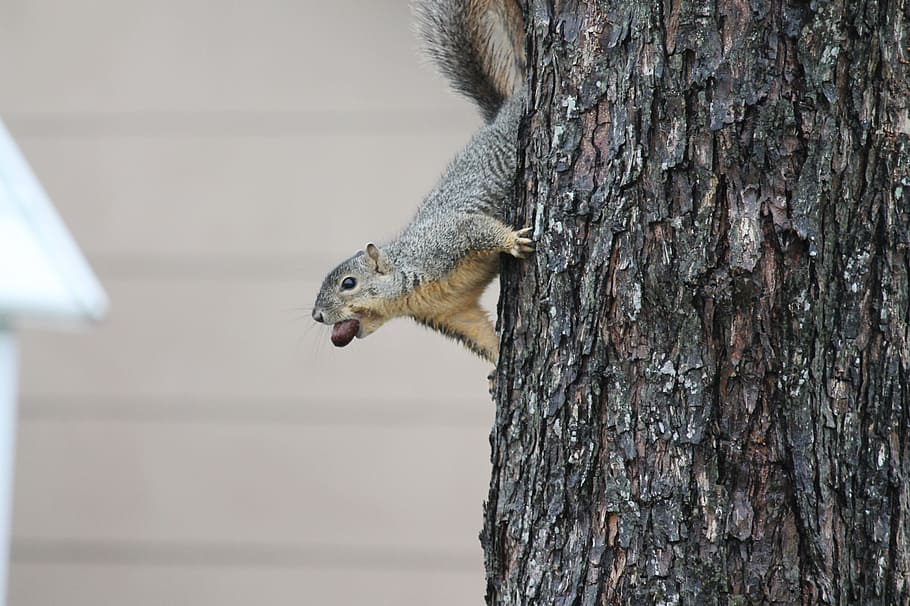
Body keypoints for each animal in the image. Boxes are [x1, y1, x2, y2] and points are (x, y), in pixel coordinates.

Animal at [311, 0, 529, 363]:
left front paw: (512, 240)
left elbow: (476, 228)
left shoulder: (445, 240)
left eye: (348, 283)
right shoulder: (452, 313)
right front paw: (497, 365)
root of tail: (504, 109)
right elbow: (479, 333)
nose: (317, 315)